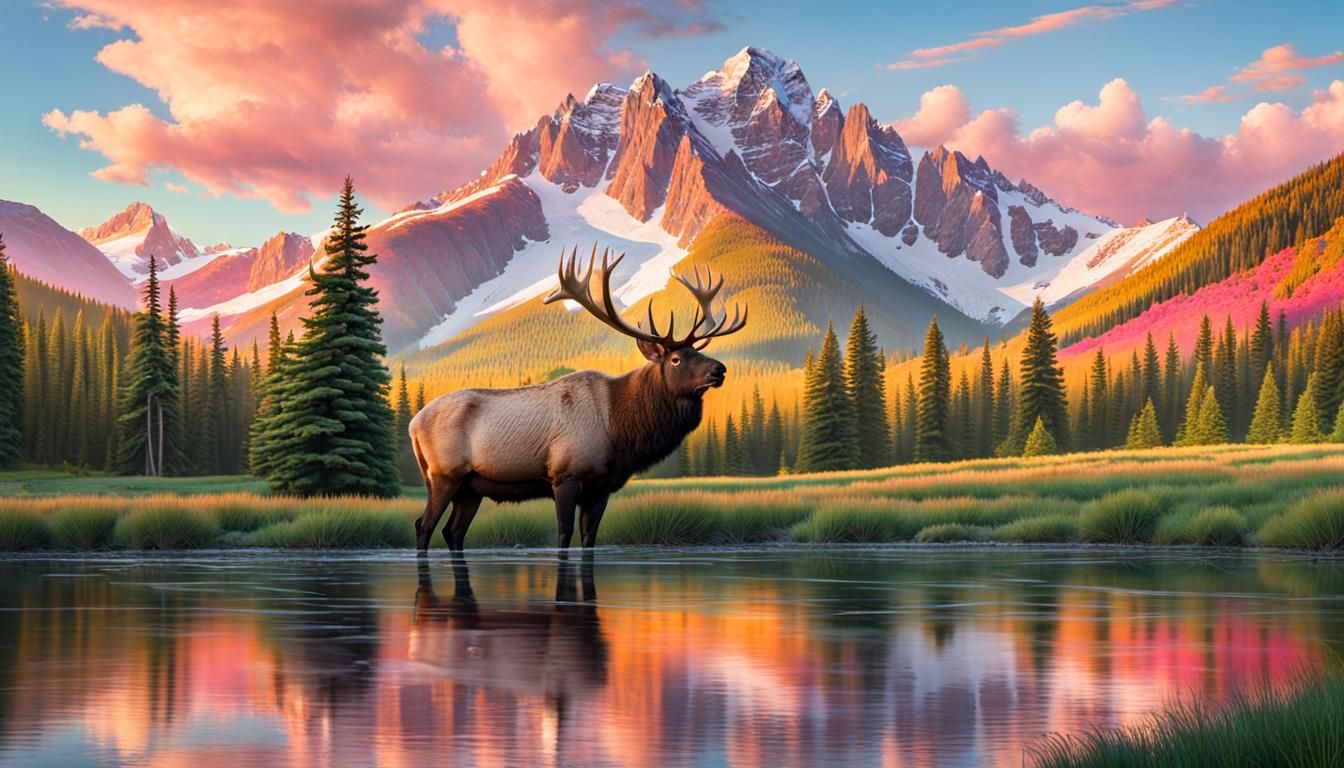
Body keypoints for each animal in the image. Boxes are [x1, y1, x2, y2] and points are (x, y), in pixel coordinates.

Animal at [408, 246, 747, 553]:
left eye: (697, 352)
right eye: (676, 359)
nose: (719, 369)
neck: (620, 428)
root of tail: (413, 423)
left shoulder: (601, 487)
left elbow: (589, 539)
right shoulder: (565, 476)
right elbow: (563, 535)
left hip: (471, 487)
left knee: (453, 531)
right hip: (443, 474)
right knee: (424, 524)